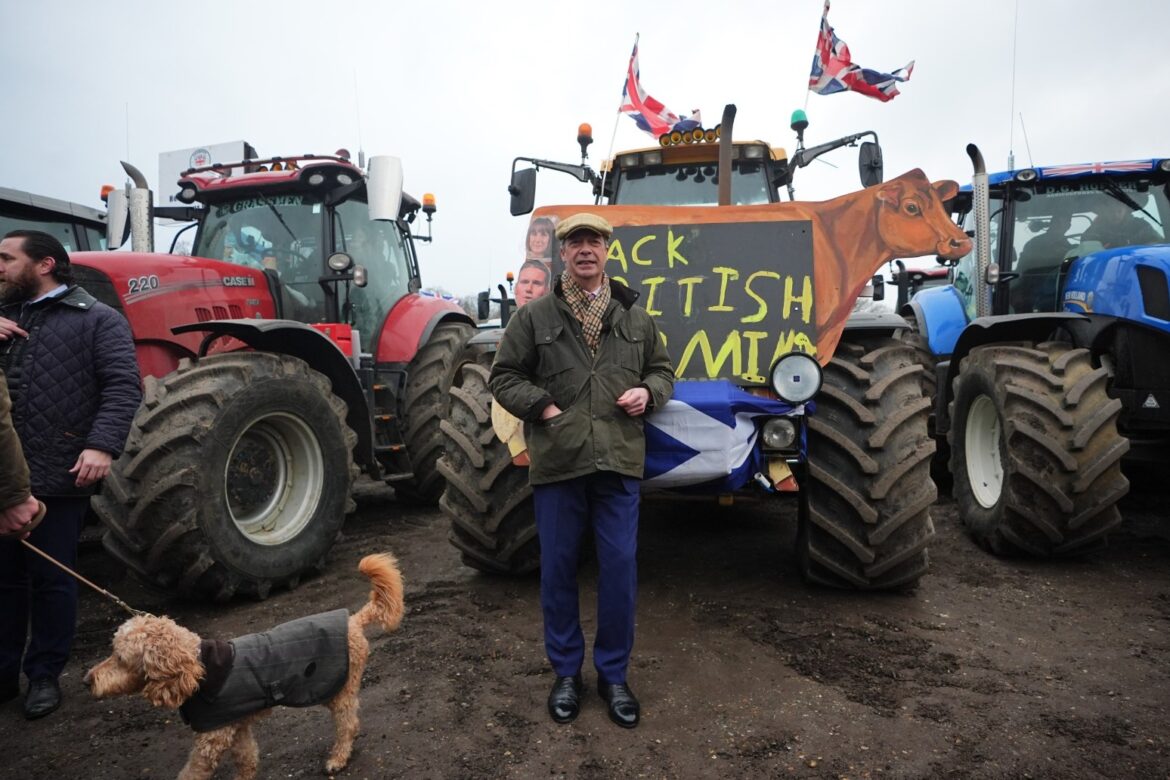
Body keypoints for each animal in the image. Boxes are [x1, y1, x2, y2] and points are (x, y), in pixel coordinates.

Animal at [84, 554, 404, 780]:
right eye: (112, 652)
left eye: (120, 658)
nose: (87, 681)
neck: (196, 667)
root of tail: (354, 621)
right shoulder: (235, 726)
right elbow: (247, 758)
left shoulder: (211, 740)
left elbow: (192, 773)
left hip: (339, 691)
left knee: (348, 725)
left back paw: (338, 758)